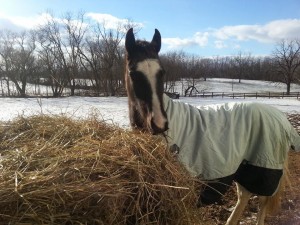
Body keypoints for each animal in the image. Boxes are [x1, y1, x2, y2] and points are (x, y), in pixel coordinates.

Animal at [124, 27, 300, 225]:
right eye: (133, 73)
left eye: (162, 72)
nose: (160, 123)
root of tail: (280, 117)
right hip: (243, 168)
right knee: (244, 196)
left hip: (264, 172)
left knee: (262, 203)